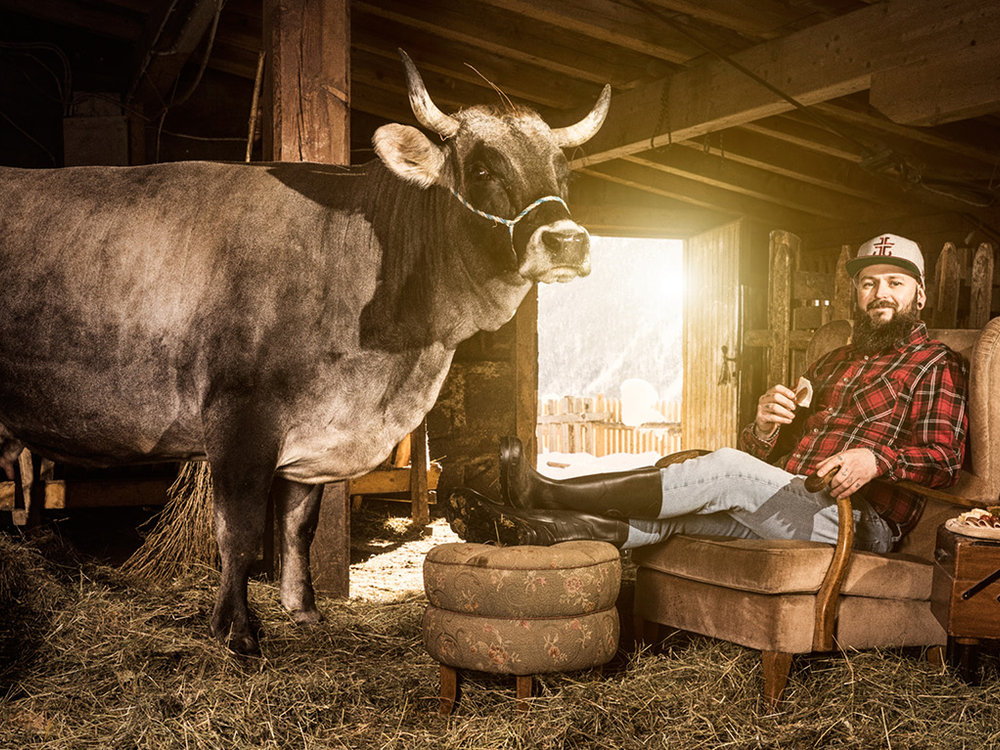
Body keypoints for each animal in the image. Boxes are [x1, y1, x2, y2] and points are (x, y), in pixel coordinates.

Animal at [0, 51, 608, 652]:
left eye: (563, 174)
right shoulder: (240, 421)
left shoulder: (313, 434)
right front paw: (238, 632)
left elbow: (299, 525)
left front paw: (304, 610)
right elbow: (240, 533)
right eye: (483, 170)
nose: (567, 241)